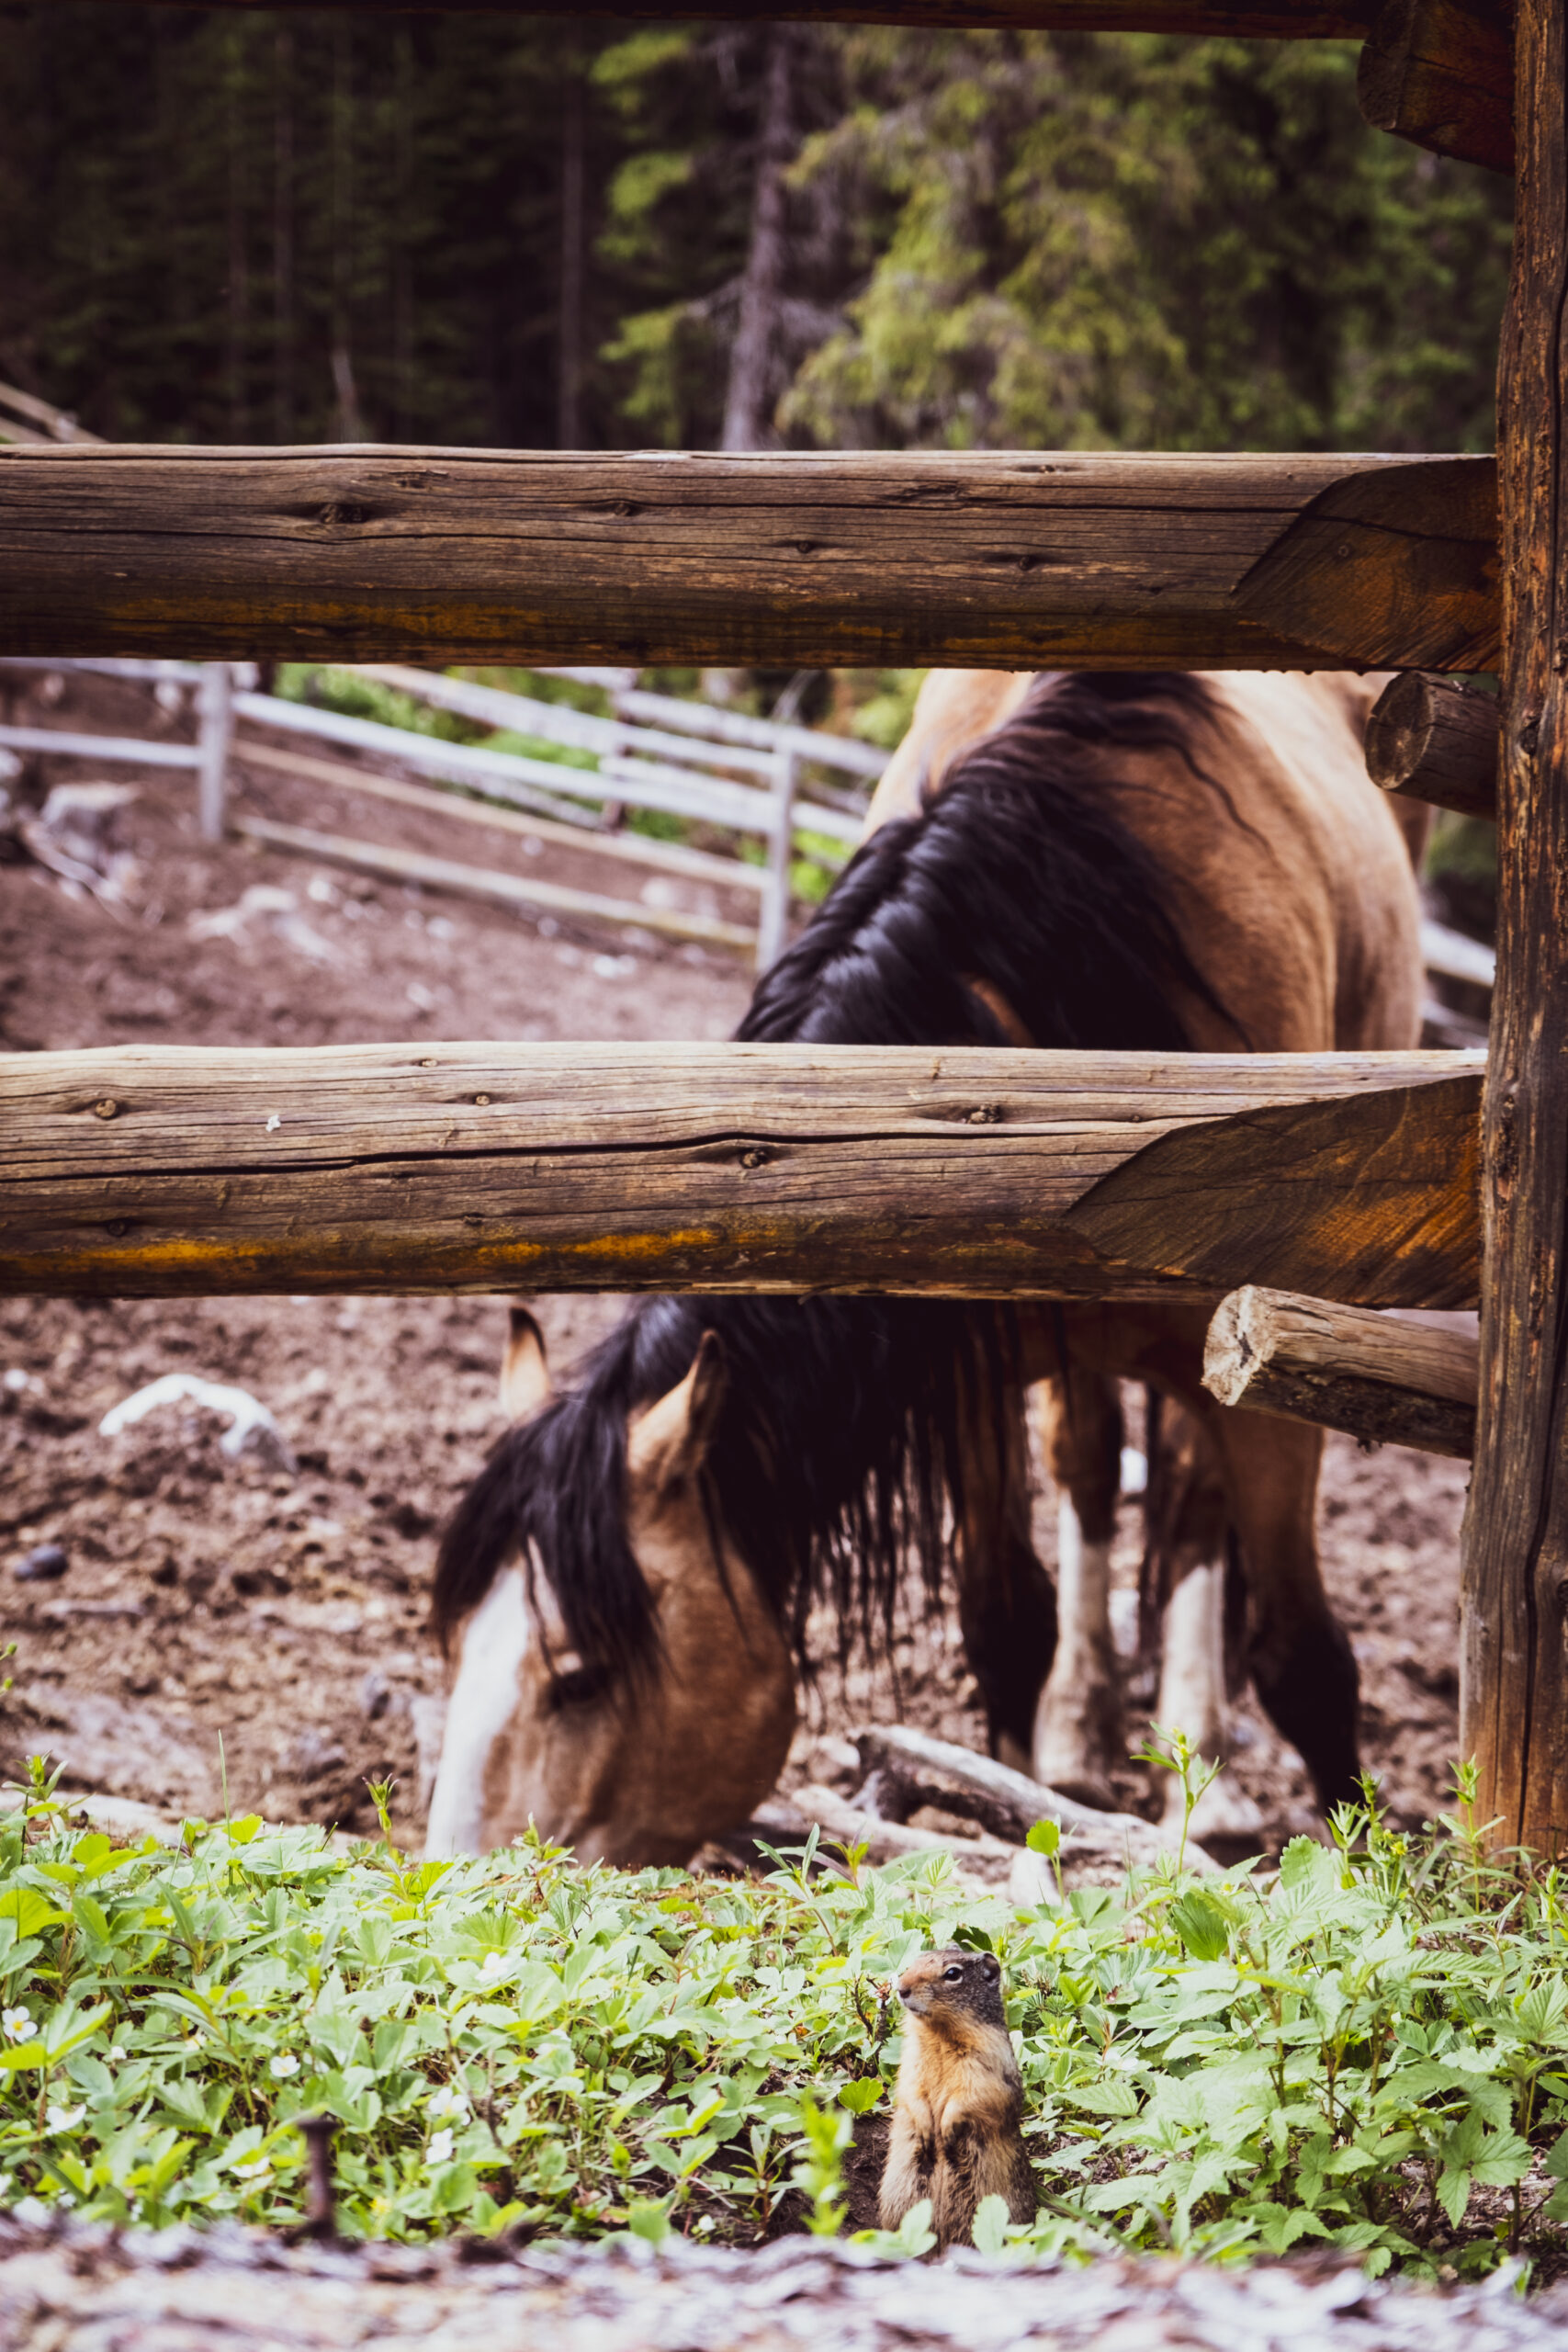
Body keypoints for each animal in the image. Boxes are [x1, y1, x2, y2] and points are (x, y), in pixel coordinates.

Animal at [425, 673, 1419, 1862]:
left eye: (578, 1678)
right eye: (450, 1652)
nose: (444, 1888)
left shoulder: (1272, 1374)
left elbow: (1304, 1661)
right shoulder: (966, 1360)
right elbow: (1005, 1620)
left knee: (1189, 1512)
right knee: (1093, 1471)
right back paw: (1086, 1731)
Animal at [879, 1938, 1034, 2248]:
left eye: (953, 1974)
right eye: (918, 1958)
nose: (901, 1988)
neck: (939, 2034)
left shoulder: (985, 2067)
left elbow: (971, 2097)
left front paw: (946, 2131)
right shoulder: (911, 2062)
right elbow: (910, 2090)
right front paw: (927, 2130)